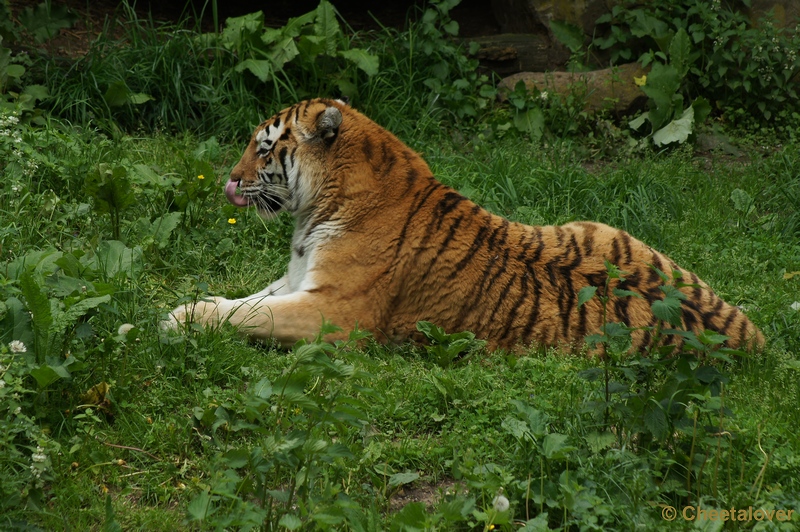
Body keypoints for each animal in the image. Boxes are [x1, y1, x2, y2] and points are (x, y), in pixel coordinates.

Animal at [162, 96, 764, 354]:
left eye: (263, 148)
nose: (229, 179)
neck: (319, 208)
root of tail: (754, 341)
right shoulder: (296, 280)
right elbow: (243, 301)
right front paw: (181, 308)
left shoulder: (334, 312)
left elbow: (252, 316)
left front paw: (177, 320)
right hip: (602, 227)